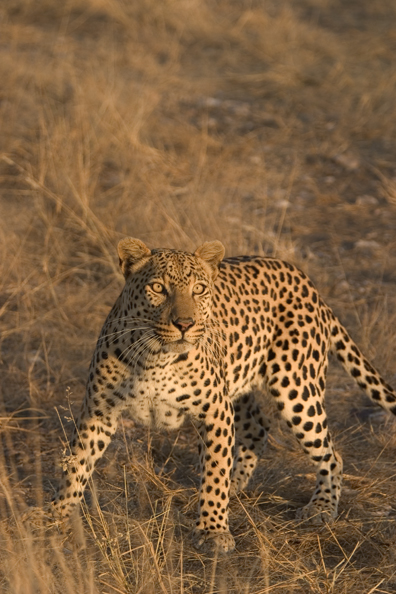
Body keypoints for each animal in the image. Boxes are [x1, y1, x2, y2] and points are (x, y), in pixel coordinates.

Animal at [51, 236, 394, 552]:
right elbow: (75, 464)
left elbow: (214, 470)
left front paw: (213, 531)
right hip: (239, 387)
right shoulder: (98, 412)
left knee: (331, 454)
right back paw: (236, 484)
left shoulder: (215, 411)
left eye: (200, 289)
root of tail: (305, 280)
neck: (156, 357)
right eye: (158, 288)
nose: (185, 324)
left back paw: (320, 507)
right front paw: (56, 517)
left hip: (296, 390)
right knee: (257, 430)